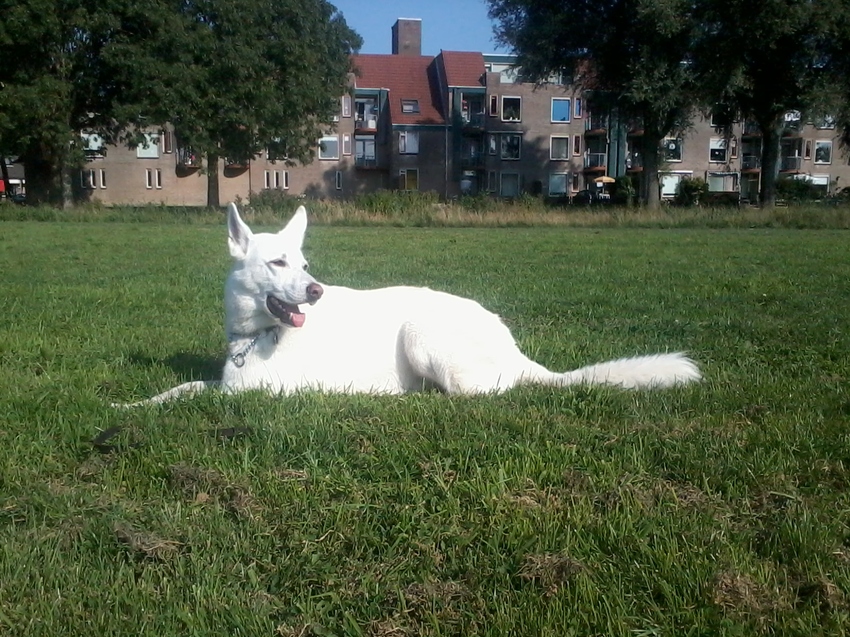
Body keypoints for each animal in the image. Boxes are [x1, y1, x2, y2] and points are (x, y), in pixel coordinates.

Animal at [121, 203, 700, 405]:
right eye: (279, 263)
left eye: (304, 264)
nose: (316, 290)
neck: (258, 334)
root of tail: (516, 351)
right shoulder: (224, 382)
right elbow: (182, 389)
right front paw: (129, 406)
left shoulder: (256, 394)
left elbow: (198, 396)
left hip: (422, 334)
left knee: (479, 394)